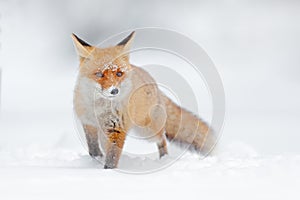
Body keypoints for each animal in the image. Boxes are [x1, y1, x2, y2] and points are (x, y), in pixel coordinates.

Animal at [71, 31, 214, 169]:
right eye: (99, 74)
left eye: (119, 74)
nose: (114, 91)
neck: (100, 108)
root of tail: (153, 82)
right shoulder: (88, 123)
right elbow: (93, 148)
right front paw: (96, 160)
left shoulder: (118, 128)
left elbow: (112, 156)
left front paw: (109, 171)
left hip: (147, 131)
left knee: (162, 138)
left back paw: (164, 159)